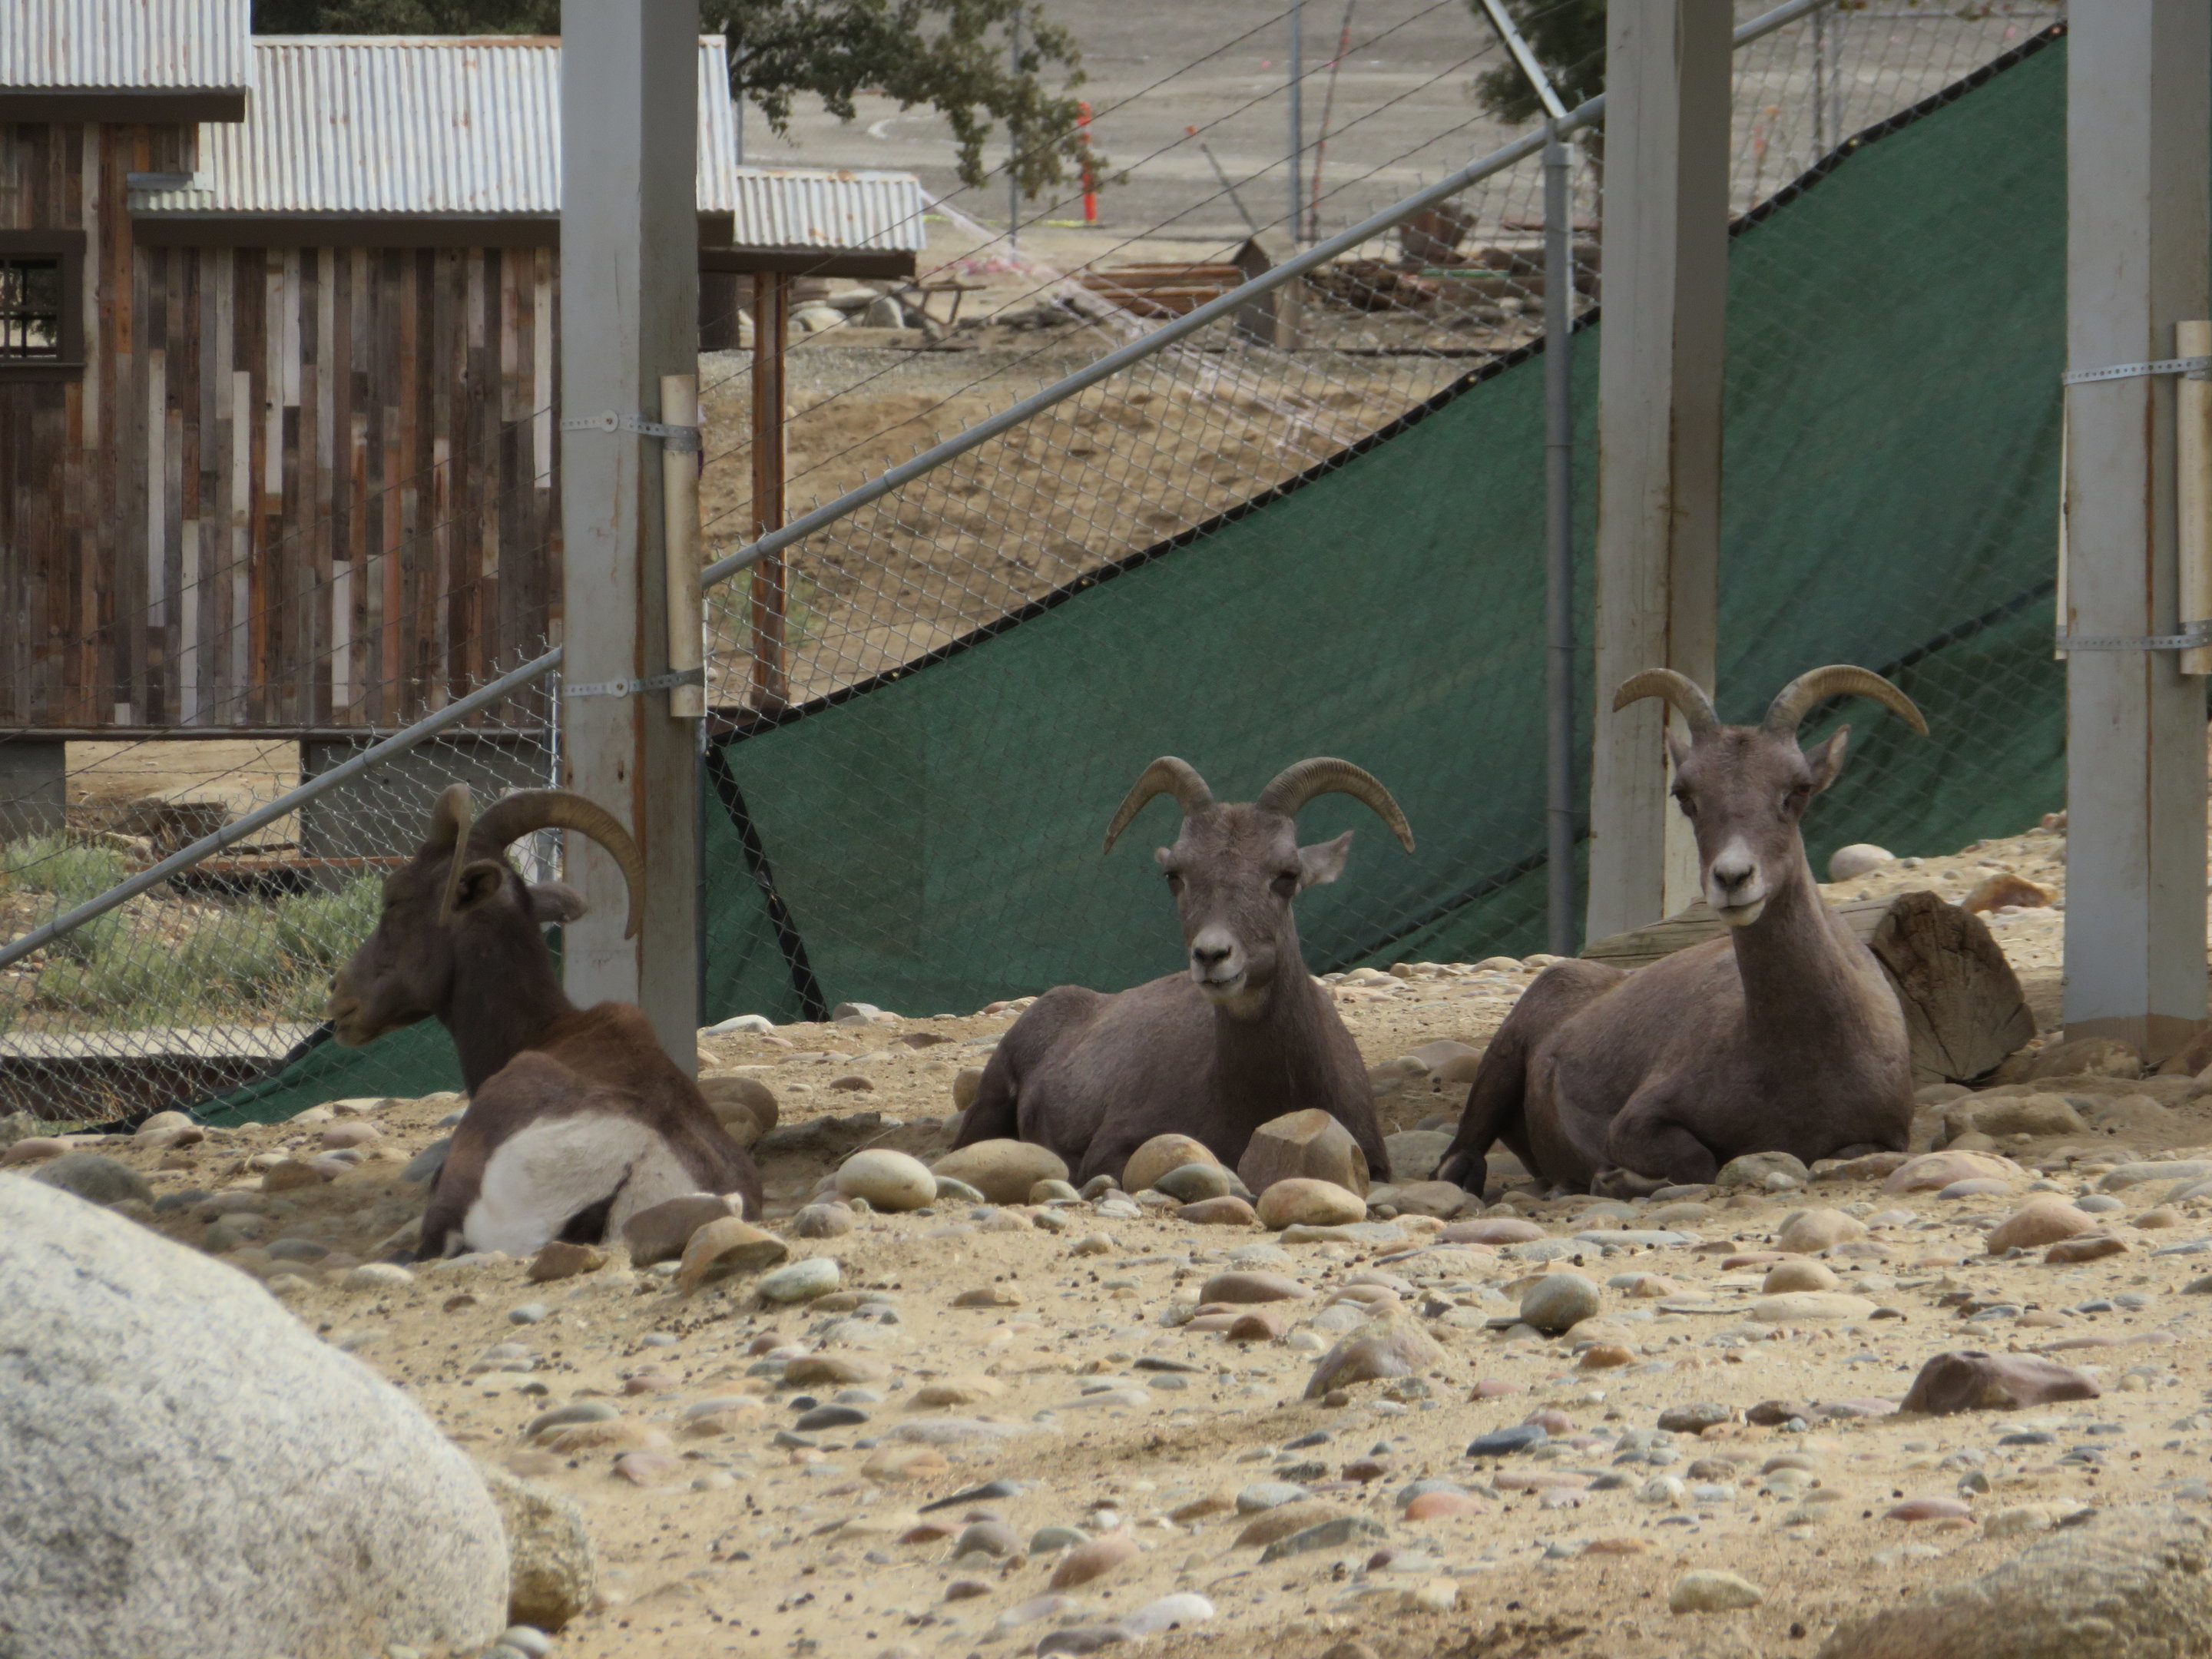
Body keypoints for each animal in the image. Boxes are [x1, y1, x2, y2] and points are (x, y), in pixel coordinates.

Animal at [1435, 665, 1928, 1198]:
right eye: (1686, 796)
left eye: (1797, 789)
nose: (1732, 878)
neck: (1795, 1058)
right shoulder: (1637, 1122)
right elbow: (1696, 1162)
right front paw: (1613, 1177)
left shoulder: (1883, 1138)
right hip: (1498, 1066)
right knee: (1457, 1162)